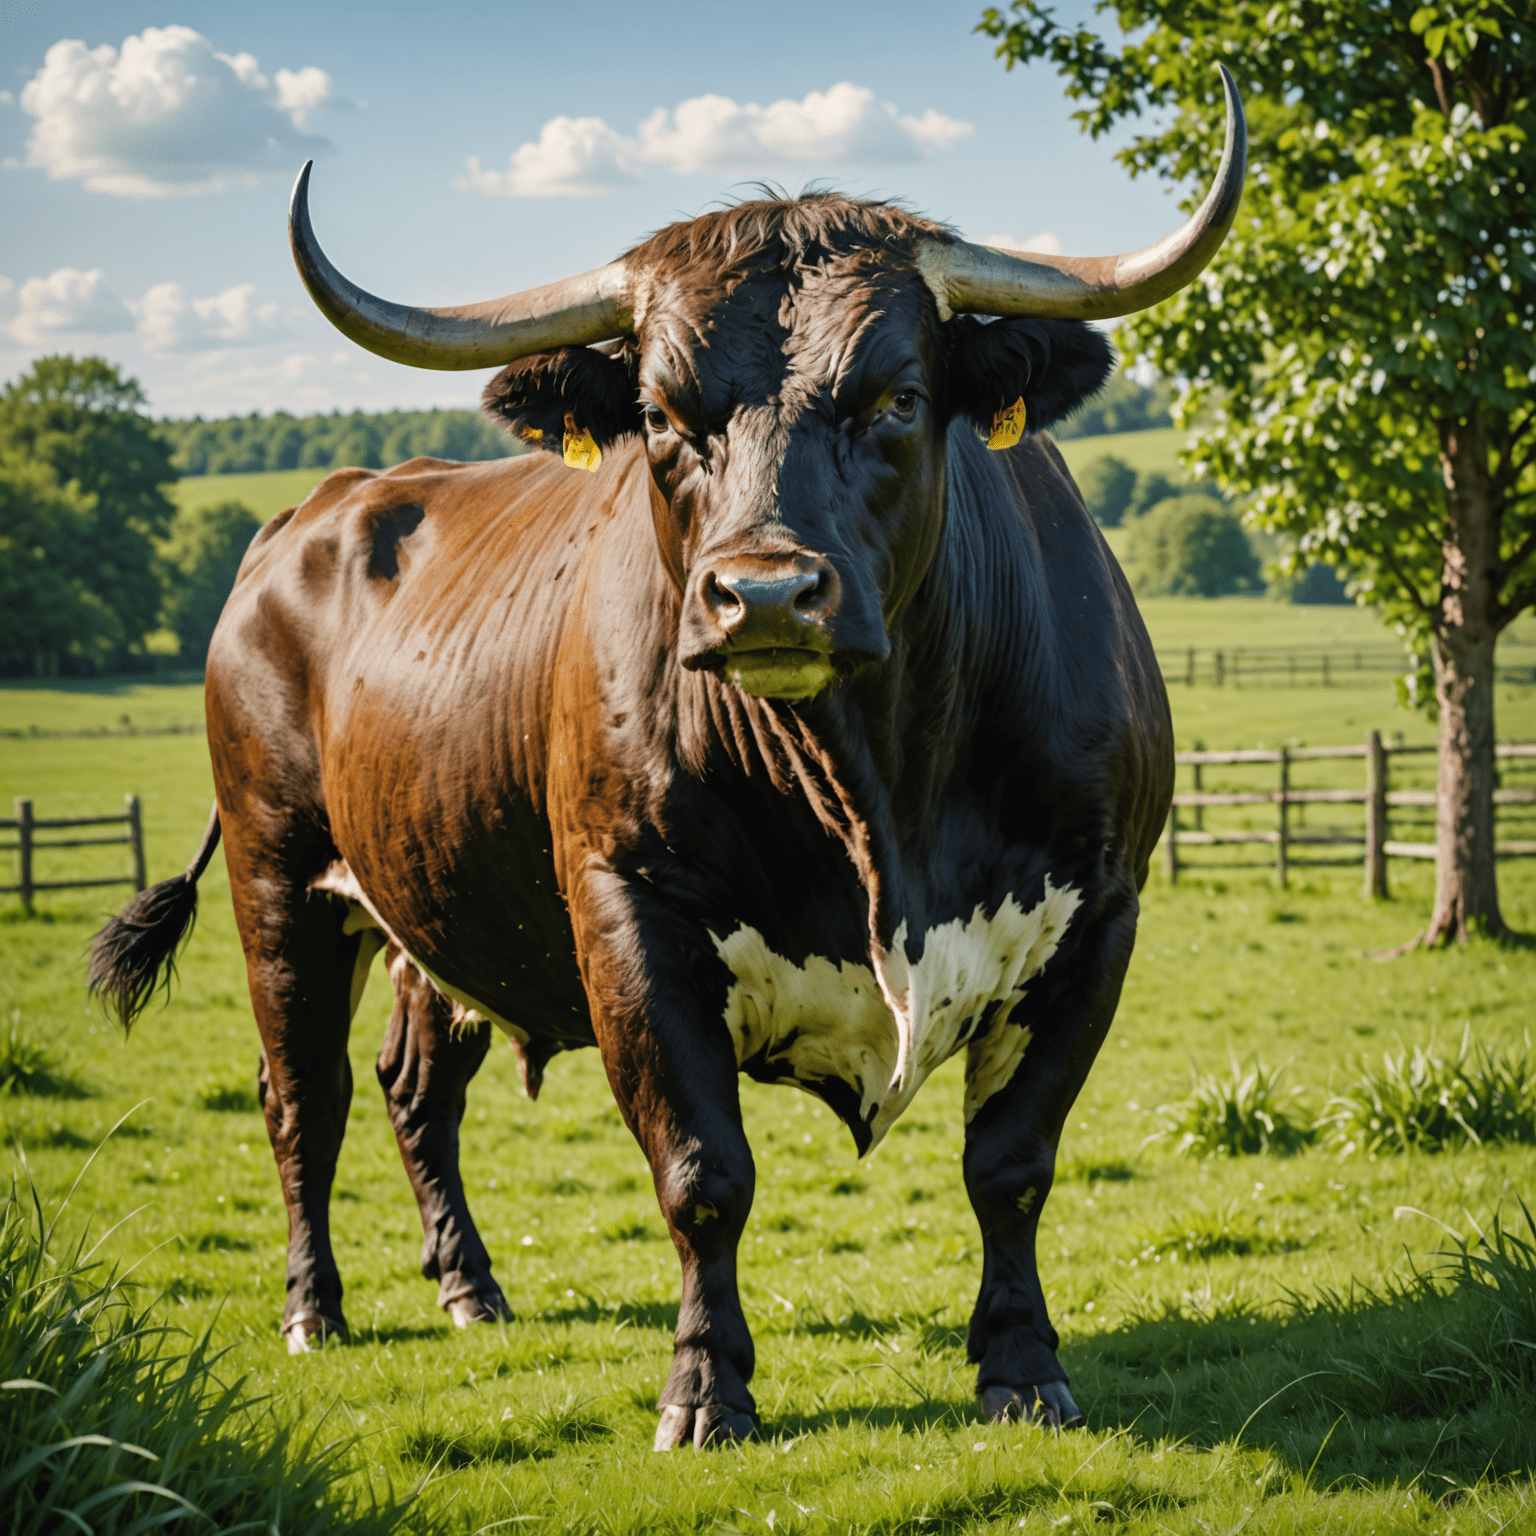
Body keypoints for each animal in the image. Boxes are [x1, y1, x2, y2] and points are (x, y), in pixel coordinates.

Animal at [87, 66, 1247, 1443]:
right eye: (656, 413)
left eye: (899, 398)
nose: (767, 595)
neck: (877, 801)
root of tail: (316, 511)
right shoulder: (627, 912)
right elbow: (704, 1173)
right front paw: (705, 1389)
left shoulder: (1099, 914)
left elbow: (1010, 1164)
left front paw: (1022, 1366)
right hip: (283, 886)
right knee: (301, 1098)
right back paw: (316, 1308)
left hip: (432, 902)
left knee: (415, 1087)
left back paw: (470, 1289)